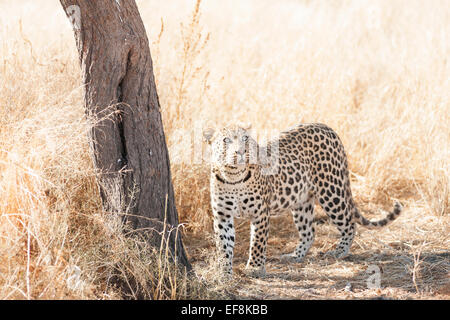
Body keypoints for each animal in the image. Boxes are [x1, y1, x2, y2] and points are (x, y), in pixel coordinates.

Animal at [202, 122, 402, 278]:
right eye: (226, 140)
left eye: (245, 139)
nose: (241, 152)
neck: (233, 177)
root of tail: (326, 127)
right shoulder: (222, 216)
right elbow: (224, 245)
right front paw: (223, 271)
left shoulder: (260, 214)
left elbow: (258, 242)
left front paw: (255, 268)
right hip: (301, 202)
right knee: (309, 231)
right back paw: (295, 255)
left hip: (331, 191)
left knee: (349, 223)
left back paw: (339, 251)